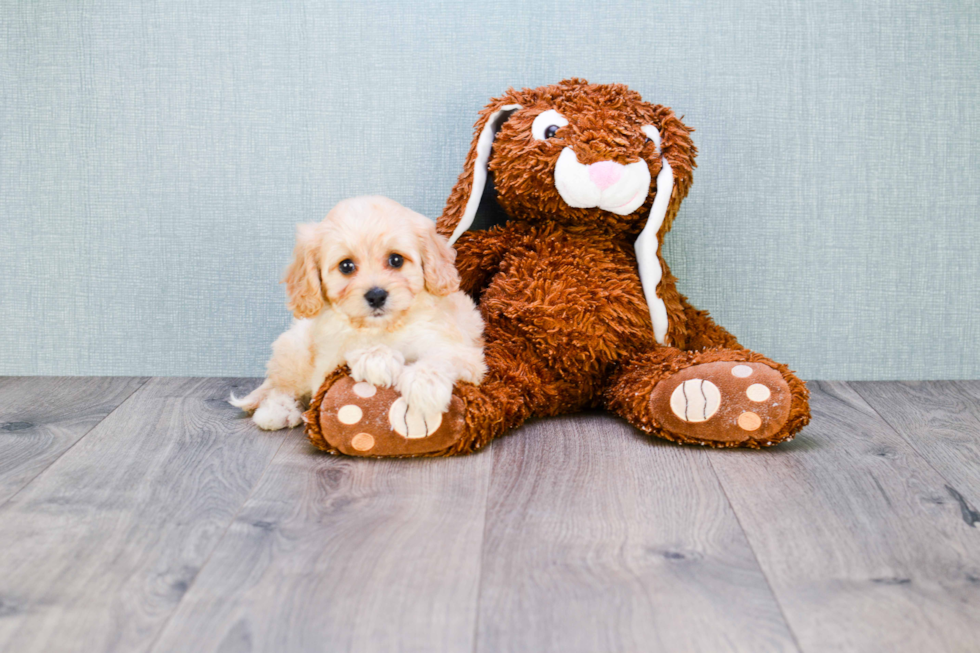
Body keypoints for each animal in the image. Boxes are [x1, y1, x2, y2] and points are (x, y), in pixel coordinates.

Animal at [234, 197, 486, 432]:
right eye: (346, 266)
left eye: (396, 260)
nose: (376, 296)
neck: (386, 326)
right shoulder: (326, 364)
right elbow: (351, 345)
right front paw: (378, 358)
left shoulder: (463, 351)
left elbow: (443, 355)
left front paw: (425, 386)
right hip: (295, 350)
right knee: (281, 387)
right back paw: (277, 411)